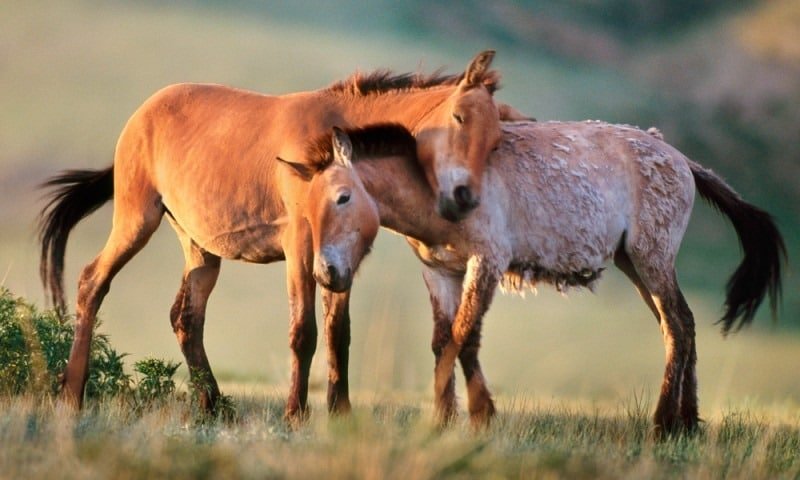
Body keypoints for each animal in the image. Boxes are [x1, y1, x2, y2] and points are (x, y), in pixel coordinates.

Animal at [310, 121, 784, 436]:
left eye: (343, 197)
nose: (325, 273)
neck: (438, 183)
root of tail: (682, 159)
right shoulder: (441, 273)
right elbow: (444, 342)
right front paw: (446, 418)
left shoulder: (486, 263)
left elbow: (464, 339)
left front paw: (478, 415)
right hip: (635, 264)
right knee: (679, 325)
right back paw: (687, 422)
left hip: (652, 260)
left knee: (679, 326)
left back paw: (664, 423)